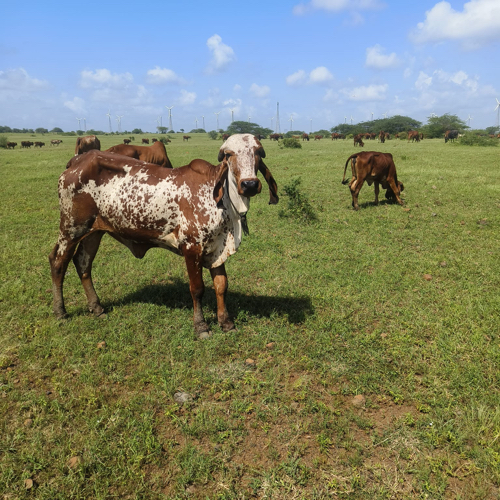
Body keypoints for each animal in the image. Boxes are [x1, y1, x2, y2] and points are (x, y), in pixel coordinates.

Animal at [47, 133, 278, 338]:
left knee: (83, 263)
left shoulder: (217, 248)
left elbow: (221, 286)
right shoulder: (191, 248)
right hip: (71, 228)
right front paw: (201, 326)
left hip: (94, 231)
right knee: (58, 261)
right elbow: (197, 289)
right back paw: (60, 311)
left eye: (258, 152)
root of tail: (77, 160)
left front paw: (226, 323)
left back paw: (96, 307)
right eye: (229, 154)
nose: (249, 184)